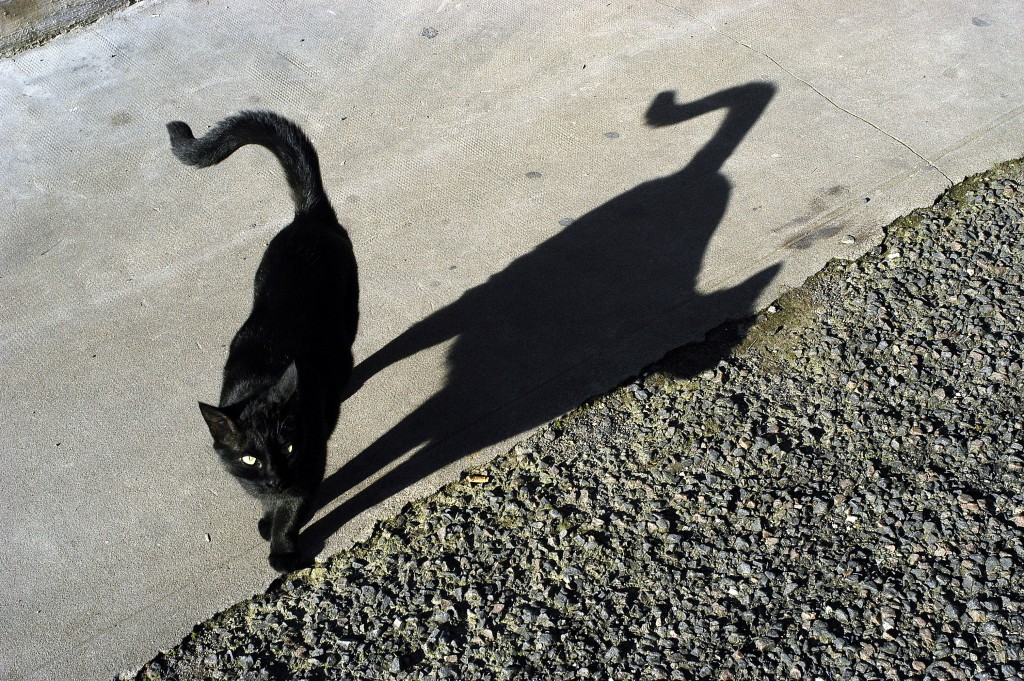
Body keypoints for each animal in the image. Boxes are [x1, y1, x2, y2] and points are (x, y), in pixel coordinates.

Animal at [165, 110, 358, 569]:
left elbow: (295, 506)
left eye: (286, 448)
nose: (273, 477)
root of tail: (308, 218)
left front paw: (281, 548)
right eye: (250, 458)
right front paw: (267, 519)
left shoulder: (310, 459)